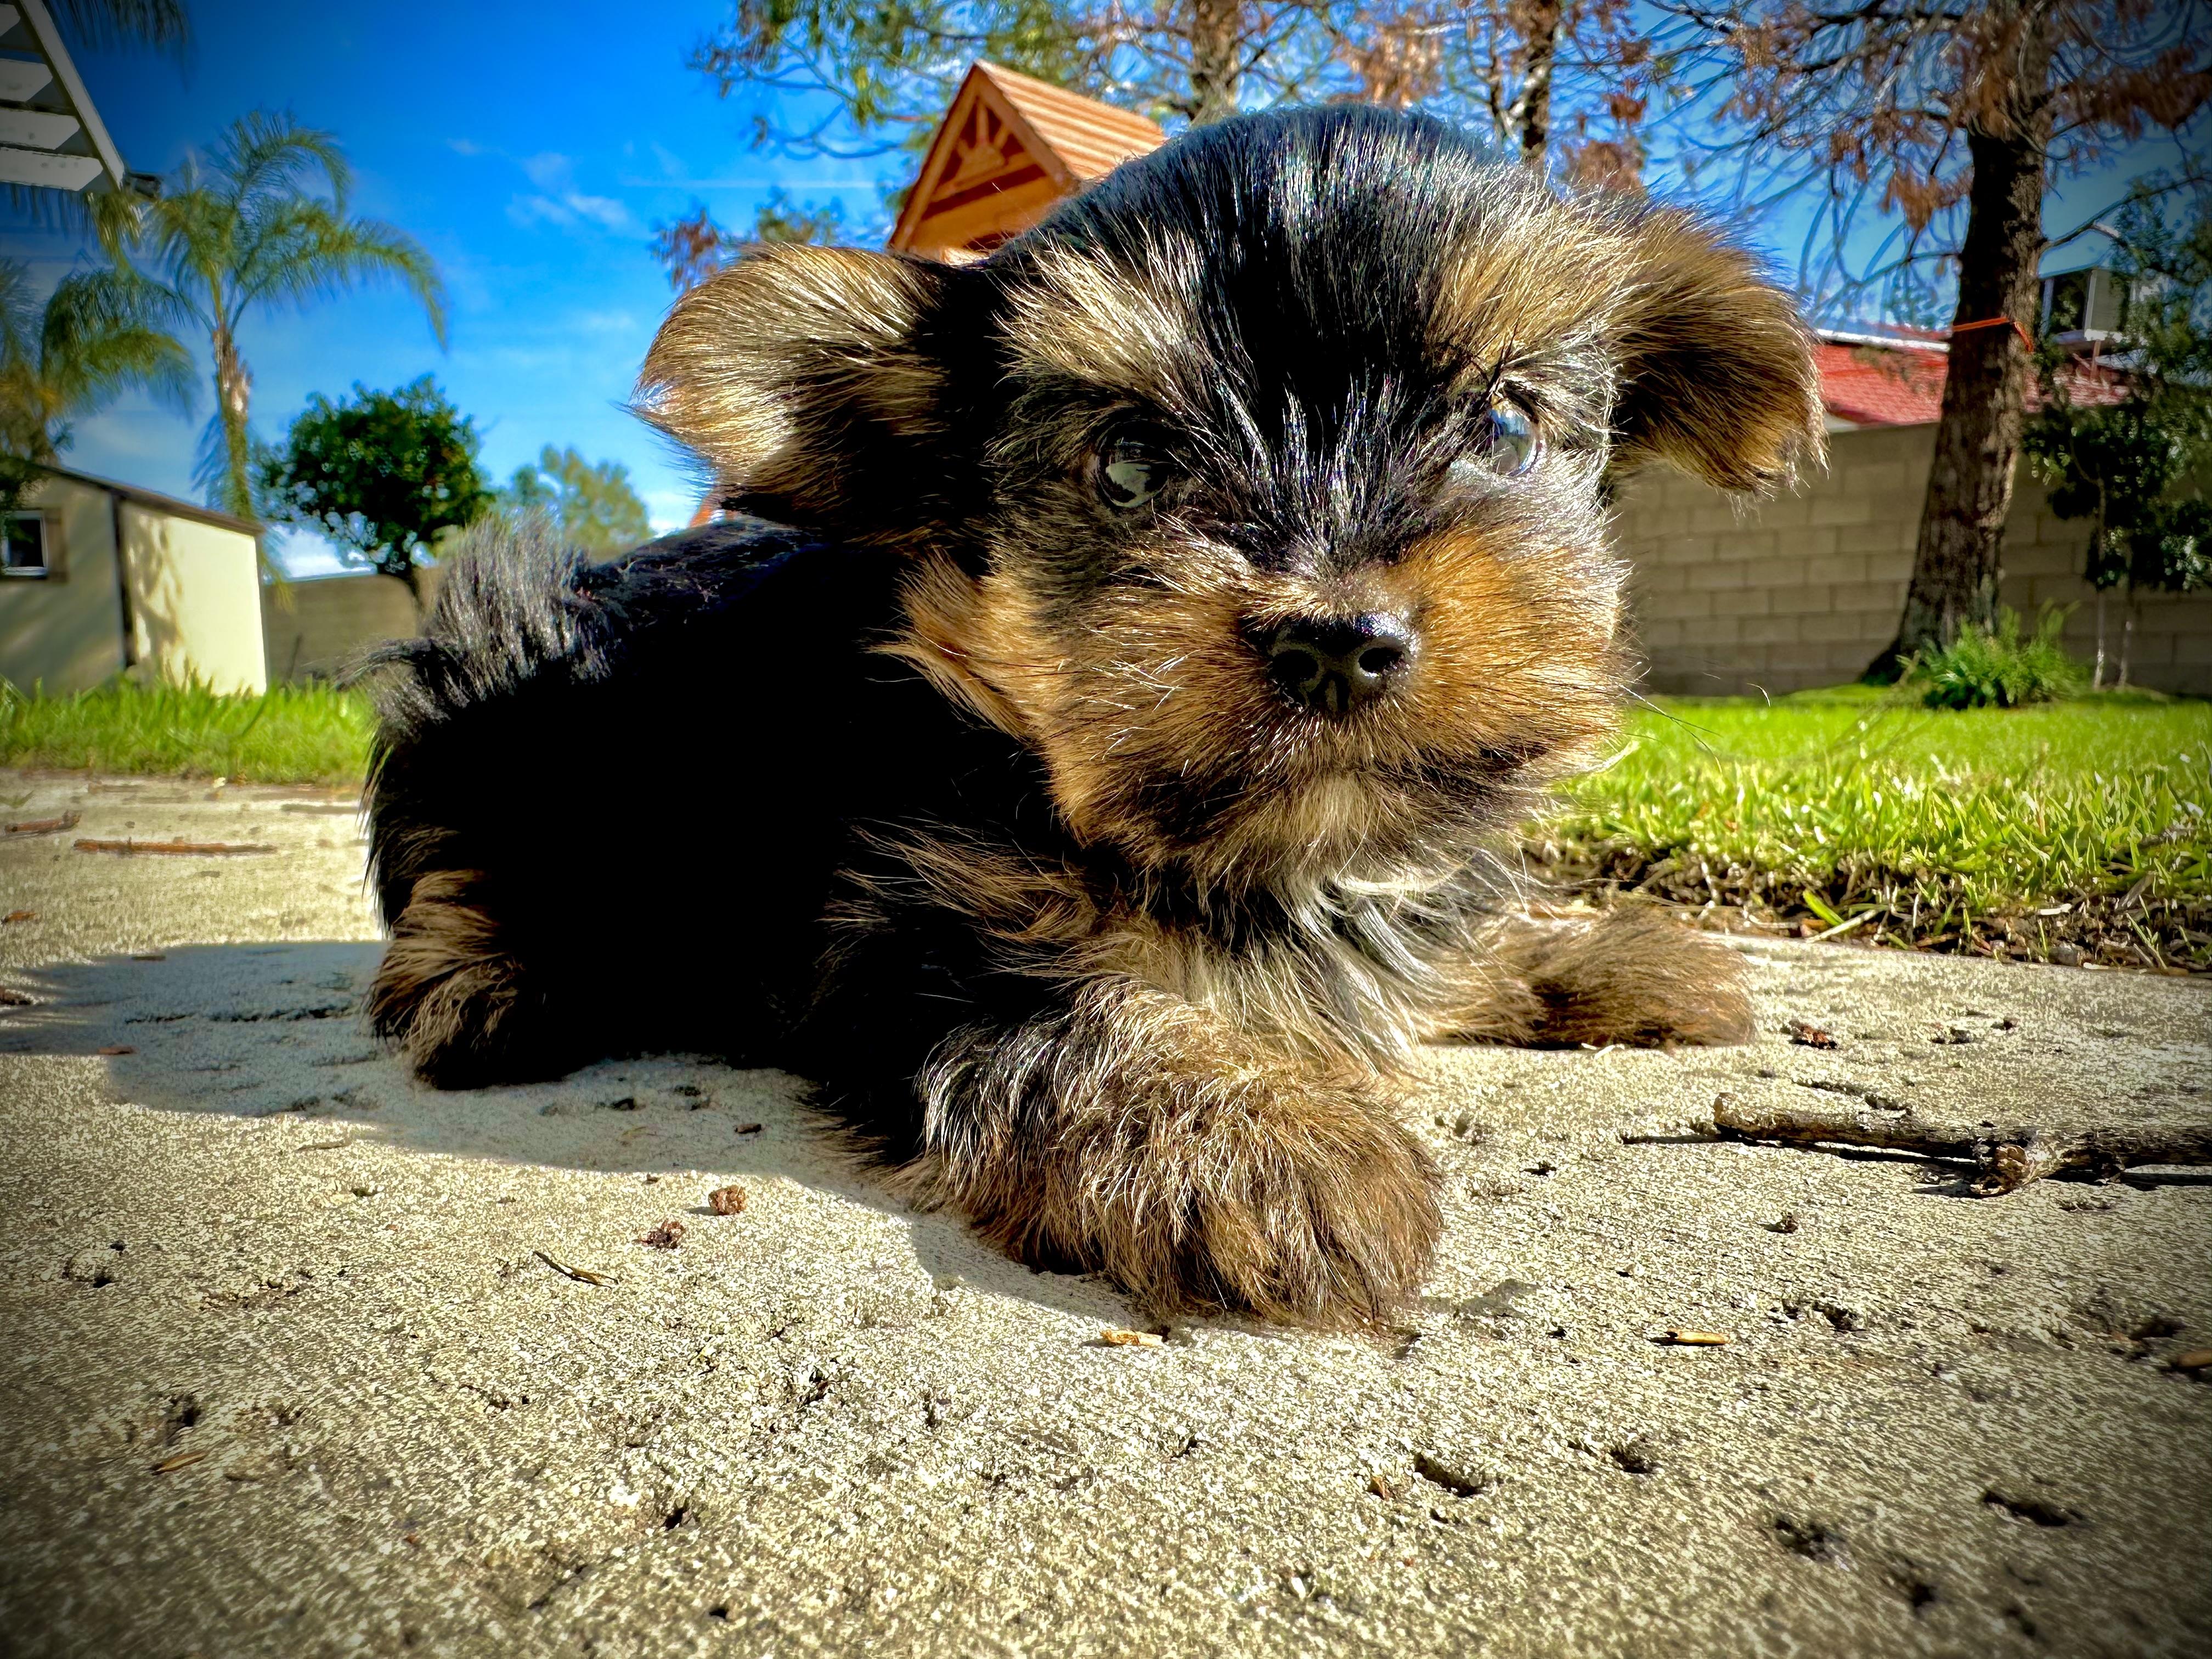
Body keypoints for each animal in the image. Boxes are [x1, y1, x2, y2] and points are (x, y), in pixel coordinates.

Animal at [361, 105, 1821, 1326]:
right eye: (1130, 467)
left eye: (1505, 430)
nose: (1336, 640)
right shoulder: (909, 929)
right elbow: (1077, 1011)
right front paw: (1255, 1141)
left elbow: (1419, 935)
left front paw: (1590, 955)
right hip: (502, 674)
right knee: (460, 846)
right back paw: (484, 982)